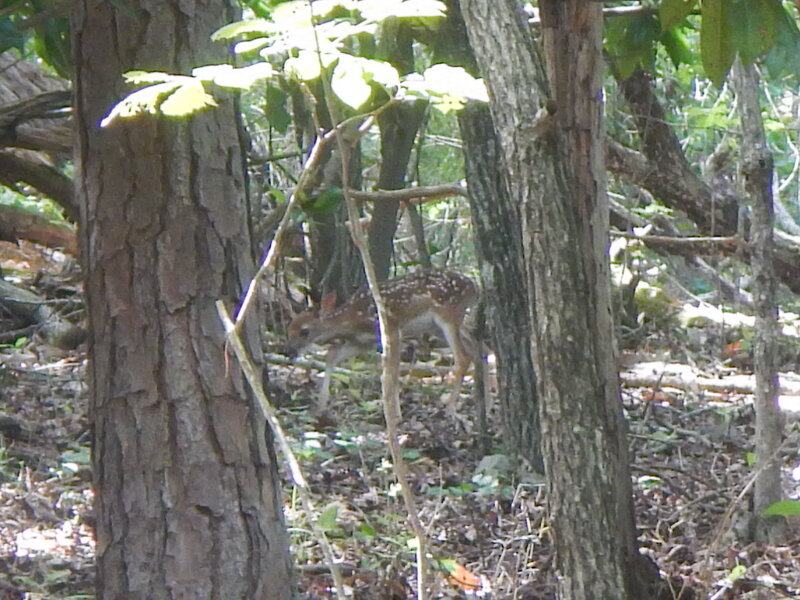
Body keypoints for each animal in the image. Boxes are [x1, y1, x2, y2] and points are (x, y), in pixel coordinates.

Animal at [286, 270, 478, 414]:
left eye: (304, 331)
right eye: (289, 329)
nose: (289, 352)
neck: (353, 318)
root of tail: (474, 287)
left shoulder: (391, 329)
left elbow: (392, 373)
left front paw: (395, 412)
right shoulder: (363, 342)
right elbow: (331, 355)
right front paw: (321, 404)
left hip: (447, 314)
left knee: (463, 357)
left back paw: (450, 409)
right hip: (440, 326)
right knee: (476, 348)